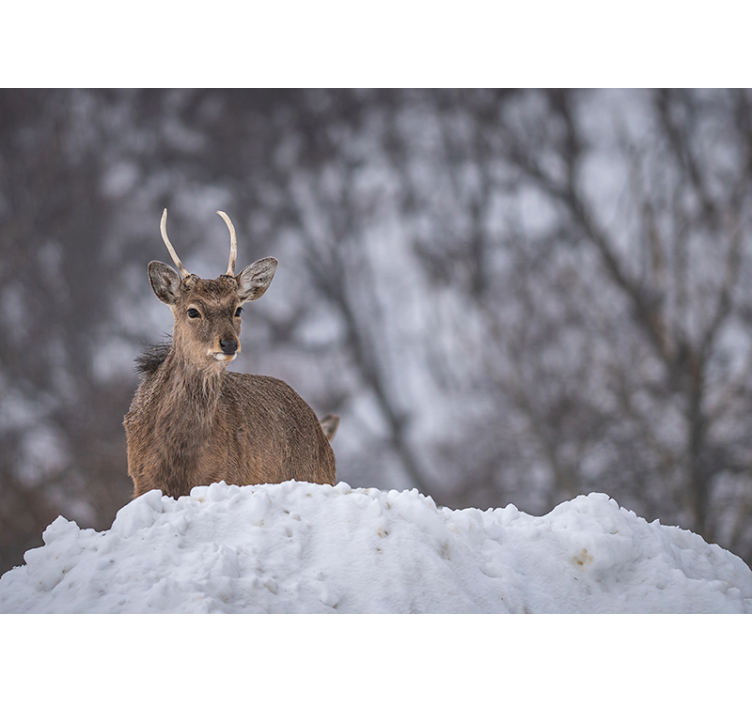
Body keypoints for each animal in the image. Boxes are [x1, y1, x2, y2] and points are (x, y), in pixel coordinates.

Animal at [124, 209, 338, 499]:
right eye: (193, 311)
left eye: (238, 309)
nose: (228, 344)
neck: (178, 456)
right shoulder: (143, 482)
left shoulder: (225, 476)